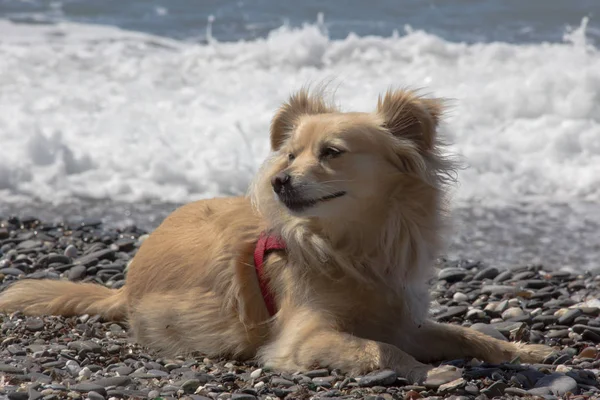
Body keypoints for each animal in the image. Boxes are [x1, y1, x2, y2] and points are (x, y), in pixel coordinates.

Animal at [0, 88, 552, 384]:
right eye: (289, 154)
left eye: (331, 153)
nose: (278, 181)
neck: (355, 247)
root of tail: (126, 286)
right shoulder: (304, 337)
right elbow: (379, 351)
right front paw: (431, 372)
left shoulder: (403, 320)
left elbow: (463, 334)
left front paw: (526, 352)